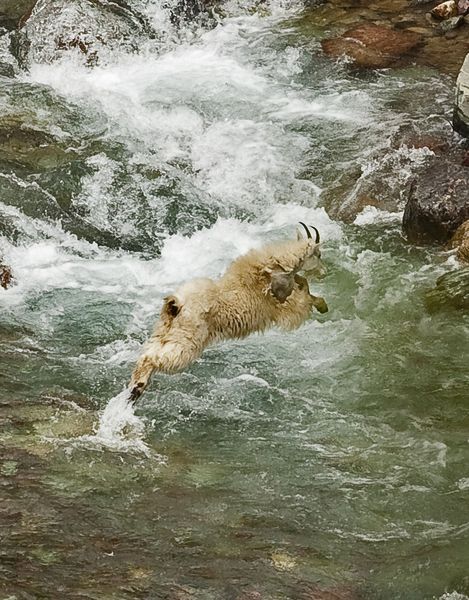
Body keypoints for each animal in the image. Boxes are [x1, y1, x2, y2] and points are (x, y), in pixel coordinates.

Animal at [128, 223, 326, 400]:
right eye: (318, 254)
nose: (324, 273)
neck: (276, 265)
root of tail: (175, 305)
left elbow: (303, 285)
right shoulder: (282, 304)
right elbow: (304, 297)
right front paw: (323, 306)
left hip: (164, 331)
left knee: (147, 354)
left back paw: (136, 388)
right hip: (187, 339)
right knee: (155, 358)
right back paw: (137, 389)